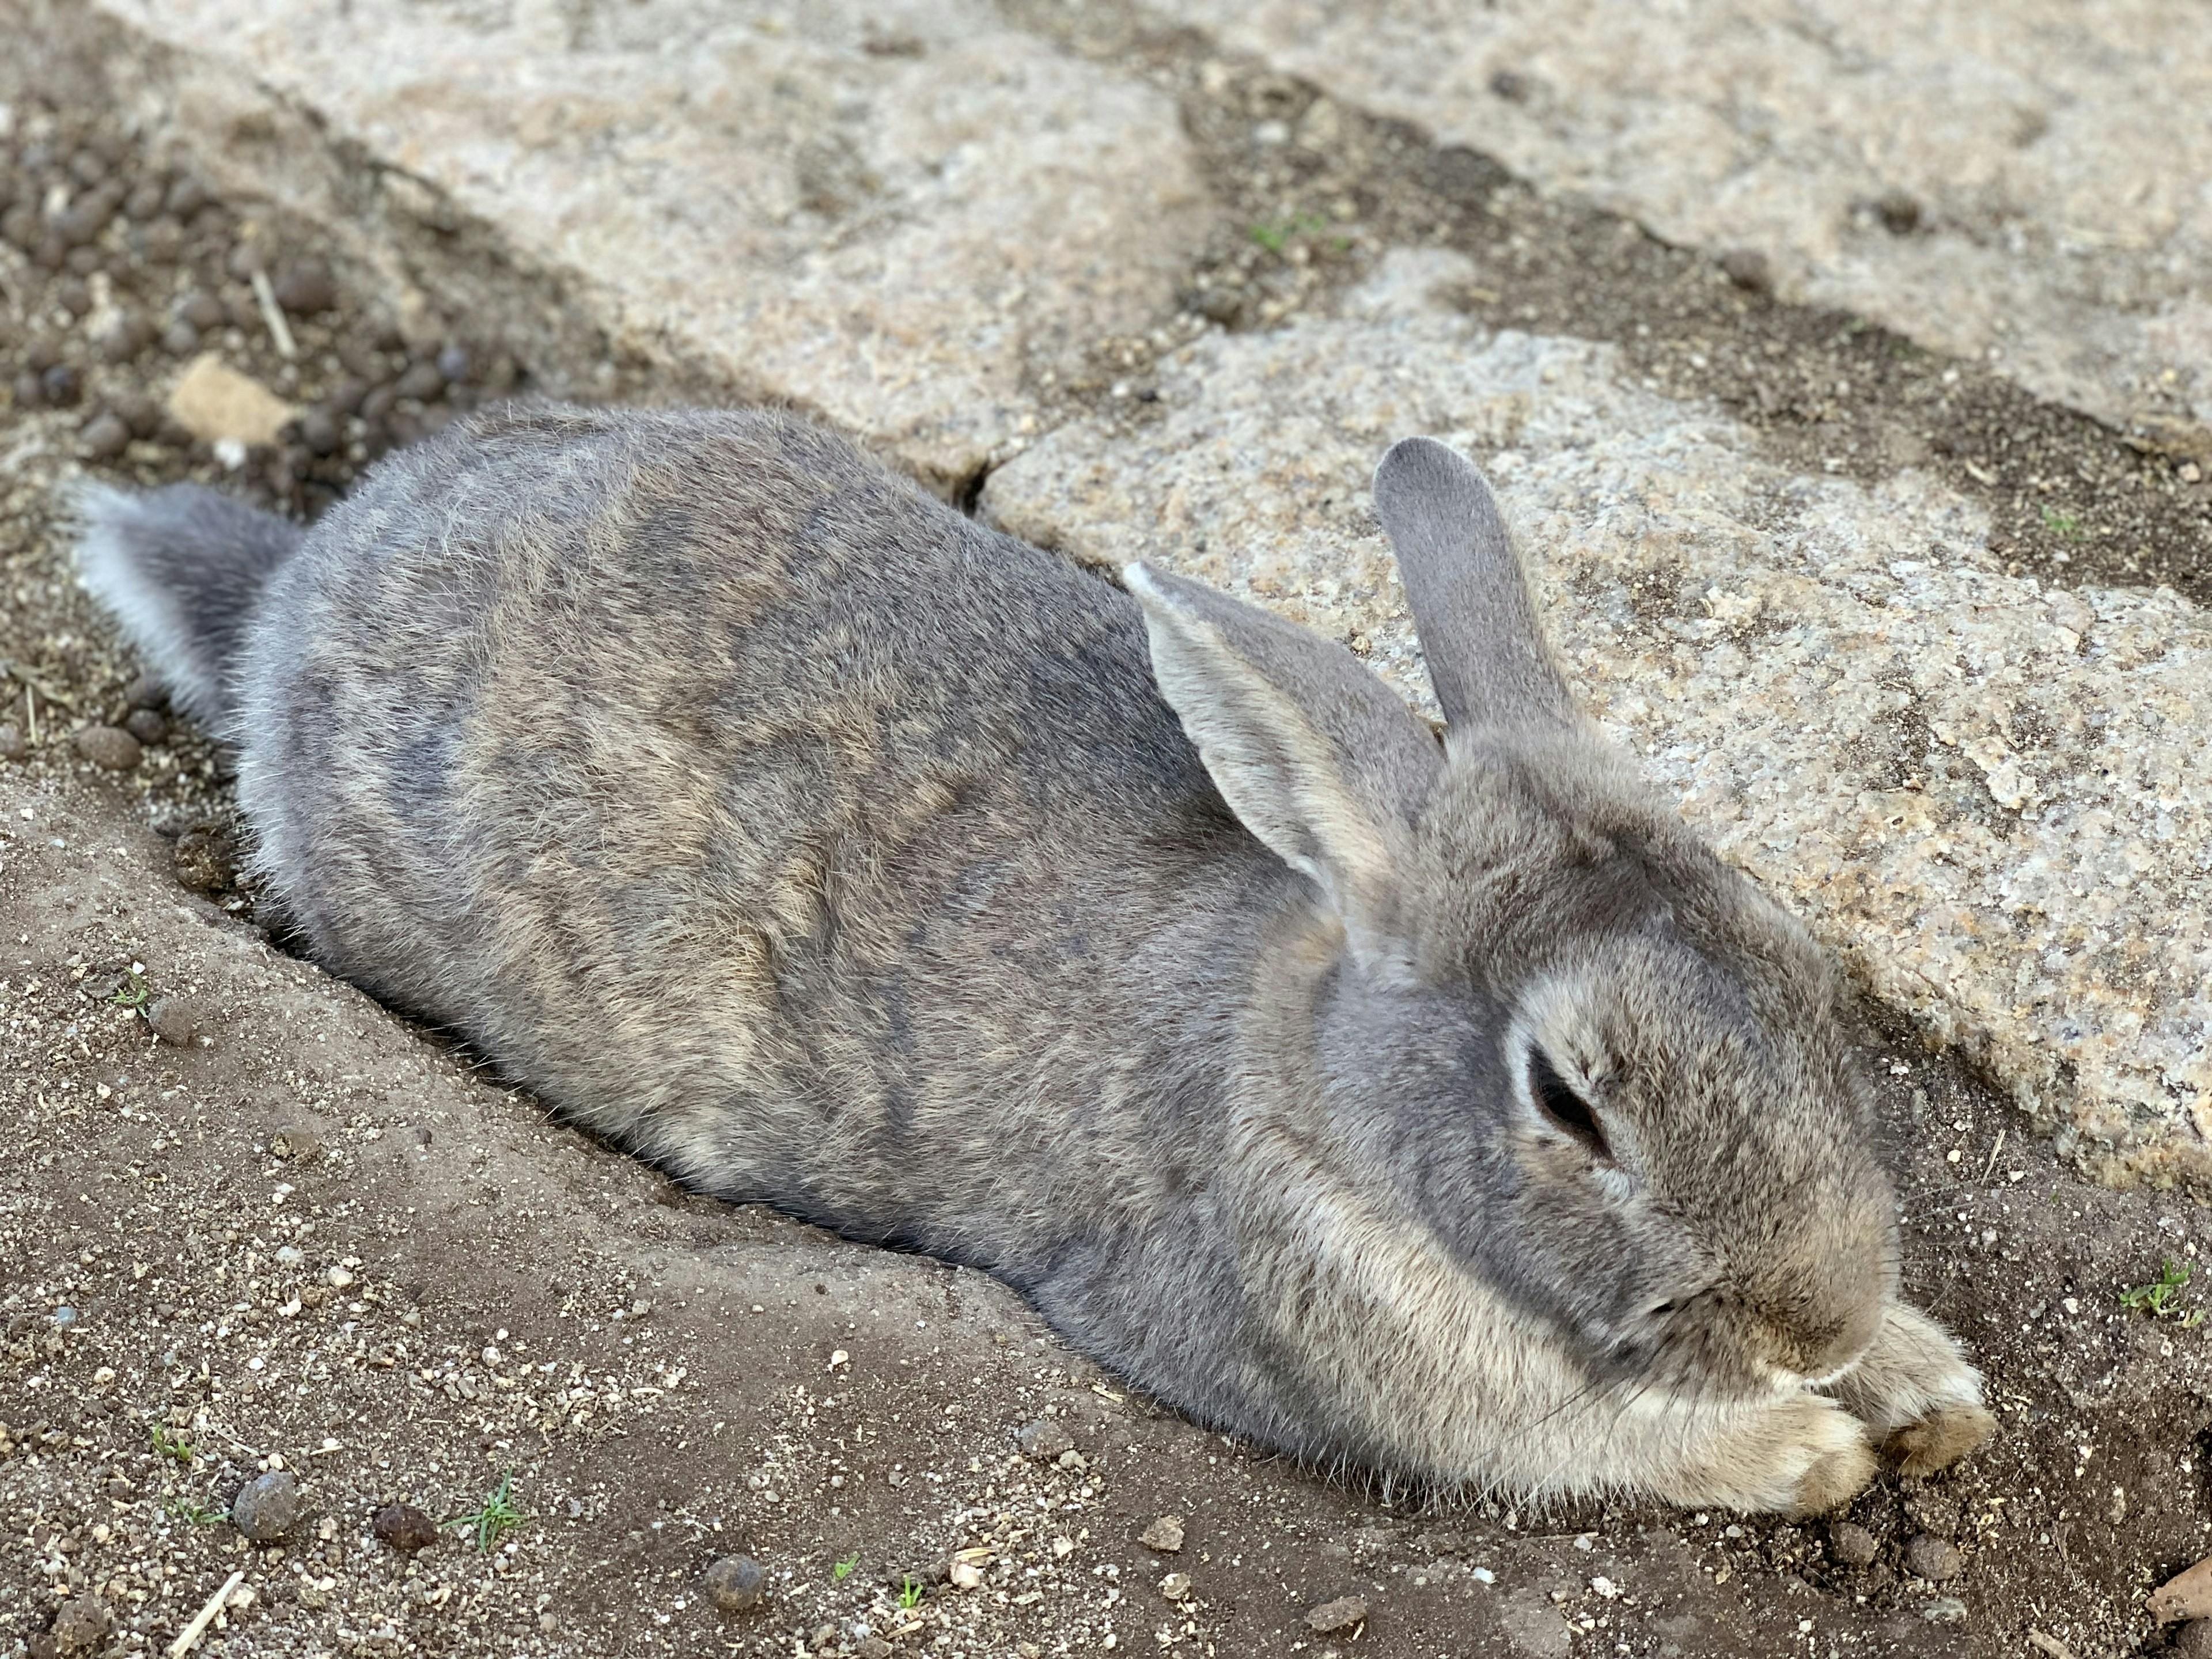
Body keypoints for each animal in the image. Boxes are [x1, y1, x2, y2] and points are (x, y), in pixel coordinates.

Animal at [78, 409, 1999, 1513]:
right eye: (1570, 1101)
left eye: (1798, 967)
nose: (1817, 1314)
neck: (1312, 1071)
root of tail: (293, 600)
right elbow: (1587, 1453)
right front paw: (1811, 1447)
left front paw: (1919, 1384)